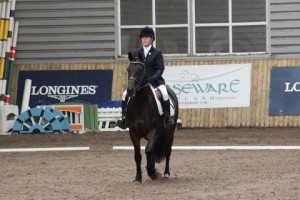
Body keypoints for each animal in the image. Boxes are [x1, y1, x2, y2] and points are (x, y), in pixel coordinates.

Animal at [124, 50, 178, 184]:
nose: (130, 90)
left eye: (141, 70)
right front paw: (138, 178)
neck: (140, 104)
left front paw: (153, 172)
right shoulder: (133, 132)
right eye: (128, 69)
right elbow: (138, 155)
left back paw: (166, 173)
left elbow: (148, 150)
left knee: (167, 151)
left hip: (169, 132)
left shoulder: (154, 130)